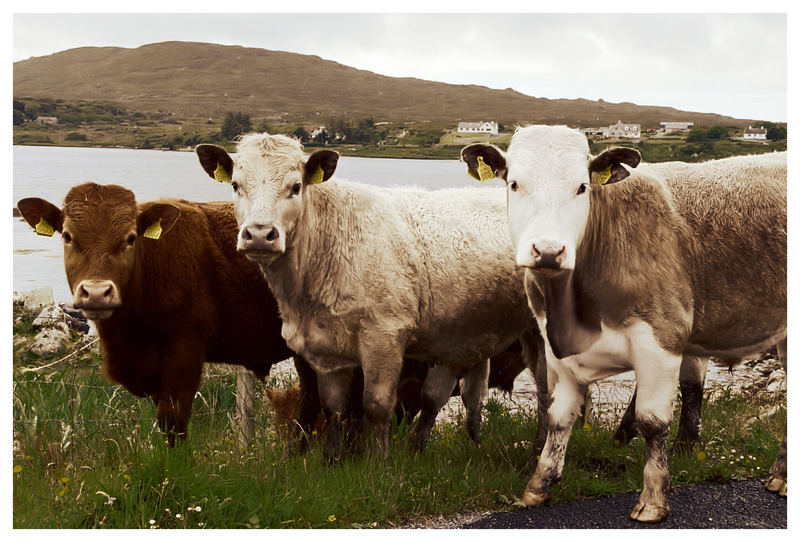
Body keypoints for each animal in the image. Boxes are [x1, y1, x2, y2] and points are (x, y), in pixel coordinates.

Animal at [195, 135, 544, 460]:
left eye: (295, 187)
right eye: (236, 185)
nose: (259, 234)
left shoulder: (384, 336)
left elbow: (376, 405)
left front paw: (379, 463)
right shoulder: (326, 348)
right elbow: (334, 407)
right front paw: (332, 460)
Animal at [462, 125, 788, 524]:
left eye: (582, 187)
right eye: (514, 183)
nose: (549, 251)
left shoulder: (661, 339)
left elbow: (653, 421)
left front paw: (653, 499)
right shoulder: (555, 350)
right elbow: (558, 417)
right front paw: (538, 487)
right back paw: (779, 476)